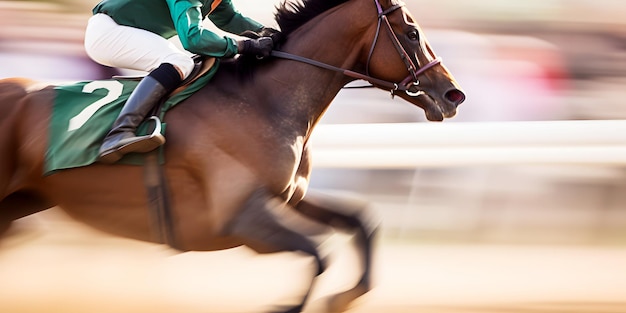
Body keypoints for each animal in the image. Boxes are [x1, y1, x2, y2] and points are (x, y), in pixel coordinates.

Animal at [0, 0, 464, 310]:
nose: (452, 94)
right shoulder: (238, 218)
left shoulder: (284, 197)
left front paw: (344, 298)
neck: (263, 99)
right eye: (412, 33)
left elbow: (361, 221)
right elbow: (319, 254)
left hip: (21, 202)